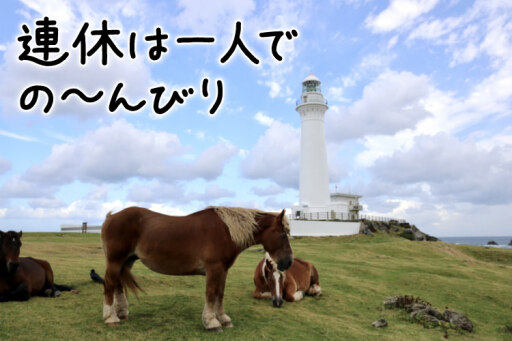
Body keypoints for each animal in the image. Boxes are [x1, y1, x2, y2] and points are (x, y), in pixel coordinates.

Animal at [101, 205, 292, 330]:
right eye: (283, 235)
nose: (288, 262)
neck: (226, 231)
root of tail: (111, 217)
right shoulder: (214, 269)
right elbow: (211, 293)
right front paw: (212, 322)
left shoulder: (223, 271)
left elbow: (220, 294)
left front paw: (223, 319)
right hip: (115, 261)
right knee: (110, 284)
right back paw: (111, 318)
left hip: (126, 261)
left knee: (118, 285)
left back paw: (121, 313)